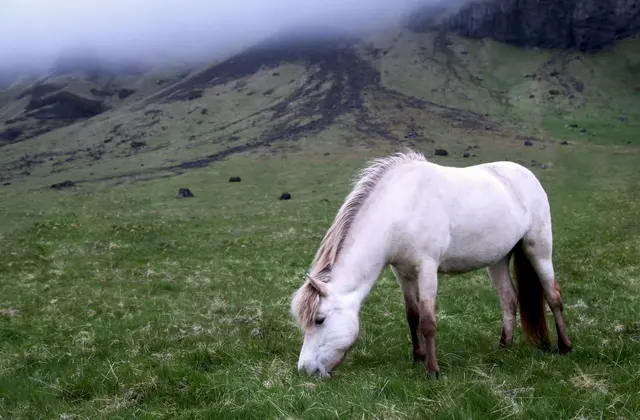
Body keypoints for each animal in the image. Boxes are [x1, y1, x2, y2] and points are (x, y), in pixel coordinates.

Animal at [290, 149, 572, 379]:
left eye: (320, 320)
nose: (305, 370)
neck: (400, 208)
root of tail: (527, 175)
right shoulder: (402, 273)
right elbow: (412, 316)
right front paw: (418, 358)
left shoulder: (427, 269)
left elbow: (427, 321)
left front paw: (432, 371)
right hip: (498, 260)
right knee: (509, 300)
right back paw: (504, 348)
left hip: (539, 249)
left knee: (553, 296)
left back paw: (565, 346)